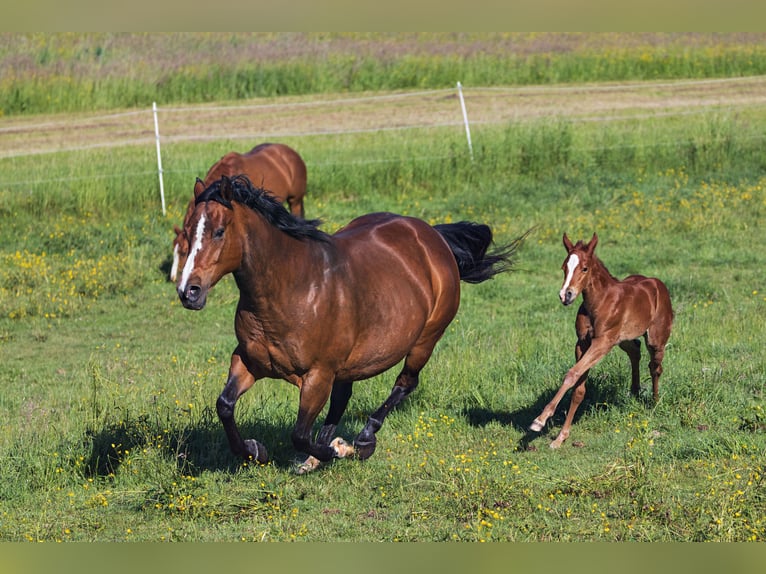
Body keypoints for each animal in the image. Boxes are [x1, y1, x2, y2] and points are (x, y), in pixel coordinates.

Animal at [178, 174, 528, 472]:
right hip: (350, 361)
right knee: (343, 396)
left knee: (404, 384)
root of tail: (431, 235)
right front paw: (256, 450)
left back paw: (362, 440)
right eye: (187, 232)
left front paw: (340, 449)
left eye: (219, 232)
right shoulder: (249, 361)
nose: (188, 291)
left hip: (424, 340)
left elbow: (299, 434)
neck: (292, 288)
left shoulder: (318, 374)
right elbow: (225, 405)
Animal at [532, 234, 676, 450]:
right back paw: (634, 392)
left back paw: (655, 402)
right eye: (564, 267)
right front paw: (561, 437)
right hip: (623, 339)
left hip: (655, 338)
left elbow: (572, 374)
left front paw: (540, 420)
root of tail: (658, 284)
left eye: (584, 268)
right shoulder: (582, 343)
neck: (600, 301)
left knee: (655, 367)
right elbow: (578, 387)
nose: (566, 295)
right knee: (635, 350)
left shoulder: (602, 342)